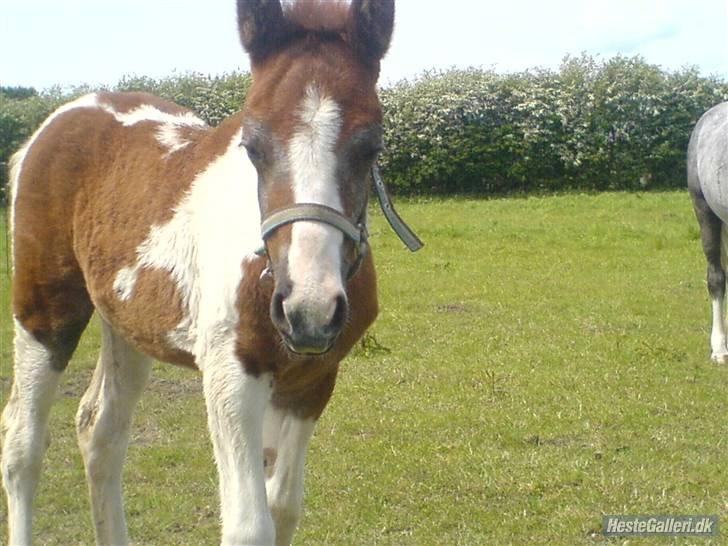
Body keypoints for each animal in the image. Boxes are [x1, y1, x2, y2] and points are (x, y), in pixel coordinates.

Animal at [0, 2, 396, 540]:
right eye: (252, 146)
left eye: (371, 146)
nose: (309, 309)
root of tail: (61, 118)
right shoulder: (230, 372)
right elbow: (249, 525)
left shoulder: (312, 379)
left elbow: (283, 505)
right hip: (44, 310)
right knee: (22, 445)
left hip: (127, 324)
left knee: (100, 431)